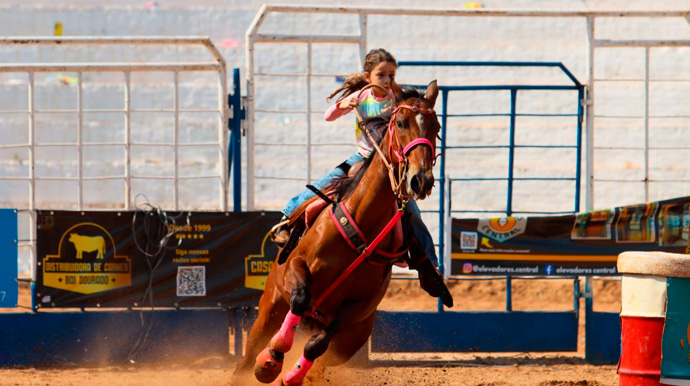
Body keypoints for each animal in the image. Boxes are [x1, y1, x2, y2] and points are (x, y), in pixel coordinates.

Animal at [232, 80, 446, 384]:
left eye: (436, 127)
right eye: (401, 123)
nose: (421, 180)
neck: (362, 221)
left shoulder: (356, 308)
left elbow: (316, 344)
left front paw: (289, 376)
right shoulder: (296, 267)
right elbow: (300, 299)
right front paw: (270, 360)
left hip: (350, 341)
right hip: (268, 311)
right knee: (248, 356)